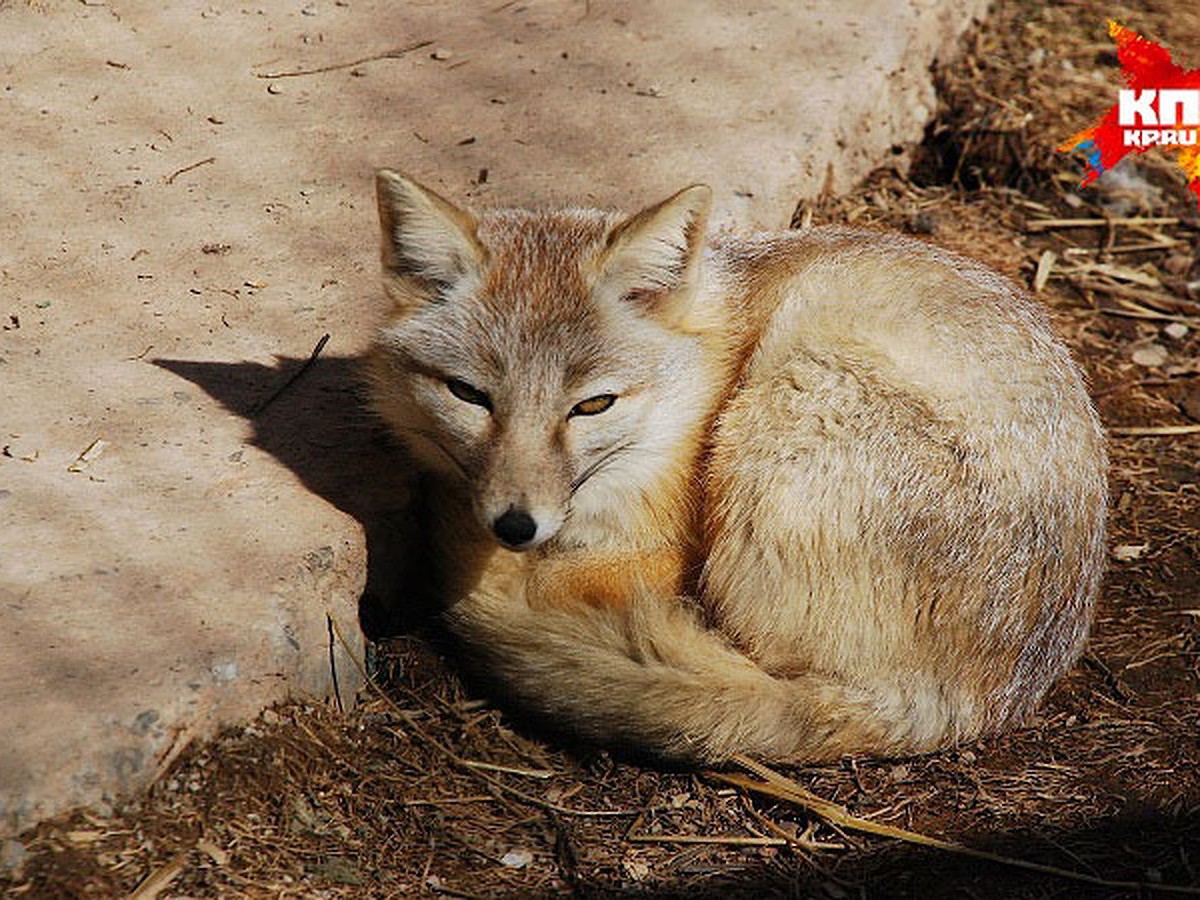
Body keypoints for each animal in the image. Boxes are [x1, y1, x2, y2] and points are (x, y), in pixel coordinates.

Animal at [364, 170, 1104, 768]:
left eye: (593, 404)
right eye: (470, 395)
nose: (515, 526)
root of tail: (968, 701)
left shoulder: (676, 540)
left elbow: (560, 582)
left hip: (783, 406)